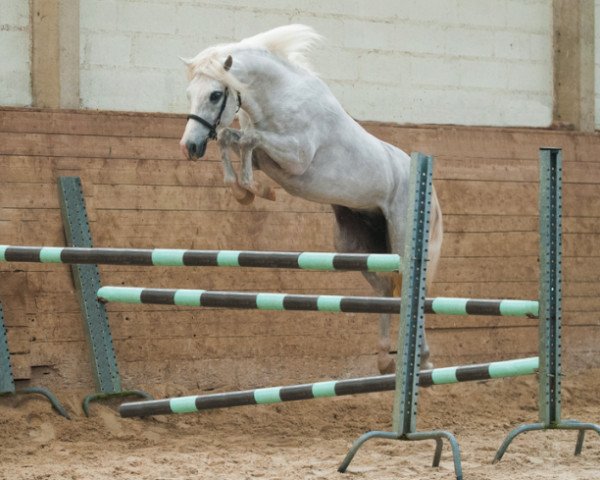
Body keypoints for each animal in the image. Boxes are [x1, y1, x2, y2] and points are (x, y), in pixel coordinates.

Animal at [178, 24, 440, 374]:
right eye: (190, 93)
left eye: (215, 95)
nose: (189, 147)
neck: (278, 97)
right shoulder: (265, 158)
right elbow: (231, 139)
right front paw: (245, 191)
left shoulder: (296, 158)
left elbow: (247, 139)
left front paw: (253, 190)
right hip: (357, 246)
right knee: (386, 289)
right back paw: (386, 358)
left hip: (400, 241)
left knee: (409, 288)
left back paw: (422, 358)